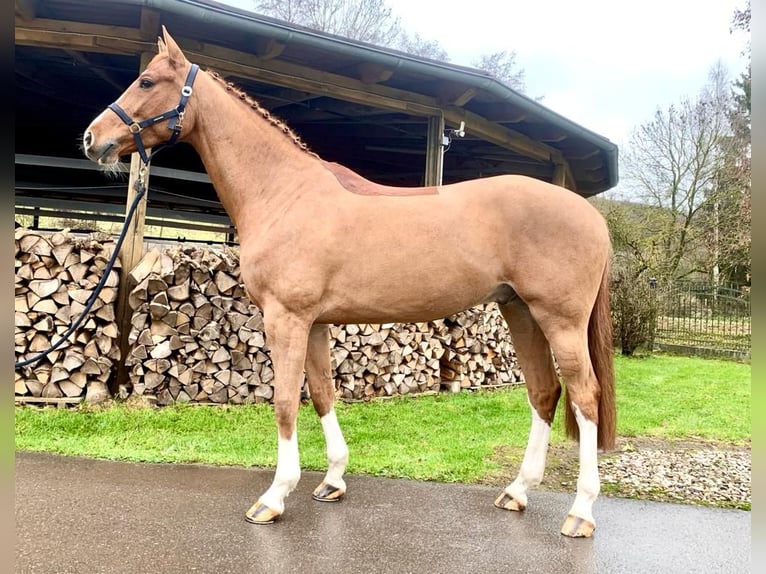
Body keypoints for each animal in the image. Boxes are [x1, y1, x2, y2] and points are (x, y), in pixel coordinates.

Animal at [83, 27, 615, 538]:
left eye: (146, 81)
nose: (92, 138)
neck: (283, 193)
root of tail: (592, 215)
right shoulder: (315, 323)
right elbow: (322, 393)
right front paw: (333, 481)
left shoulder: (286, 320)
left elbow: (284, 402)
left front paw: (274, 497)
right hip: (520, 310)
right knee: (544, 392)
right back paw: (518, 492)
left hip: (560, 320)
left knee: (585, 395)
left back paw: (581, 513)